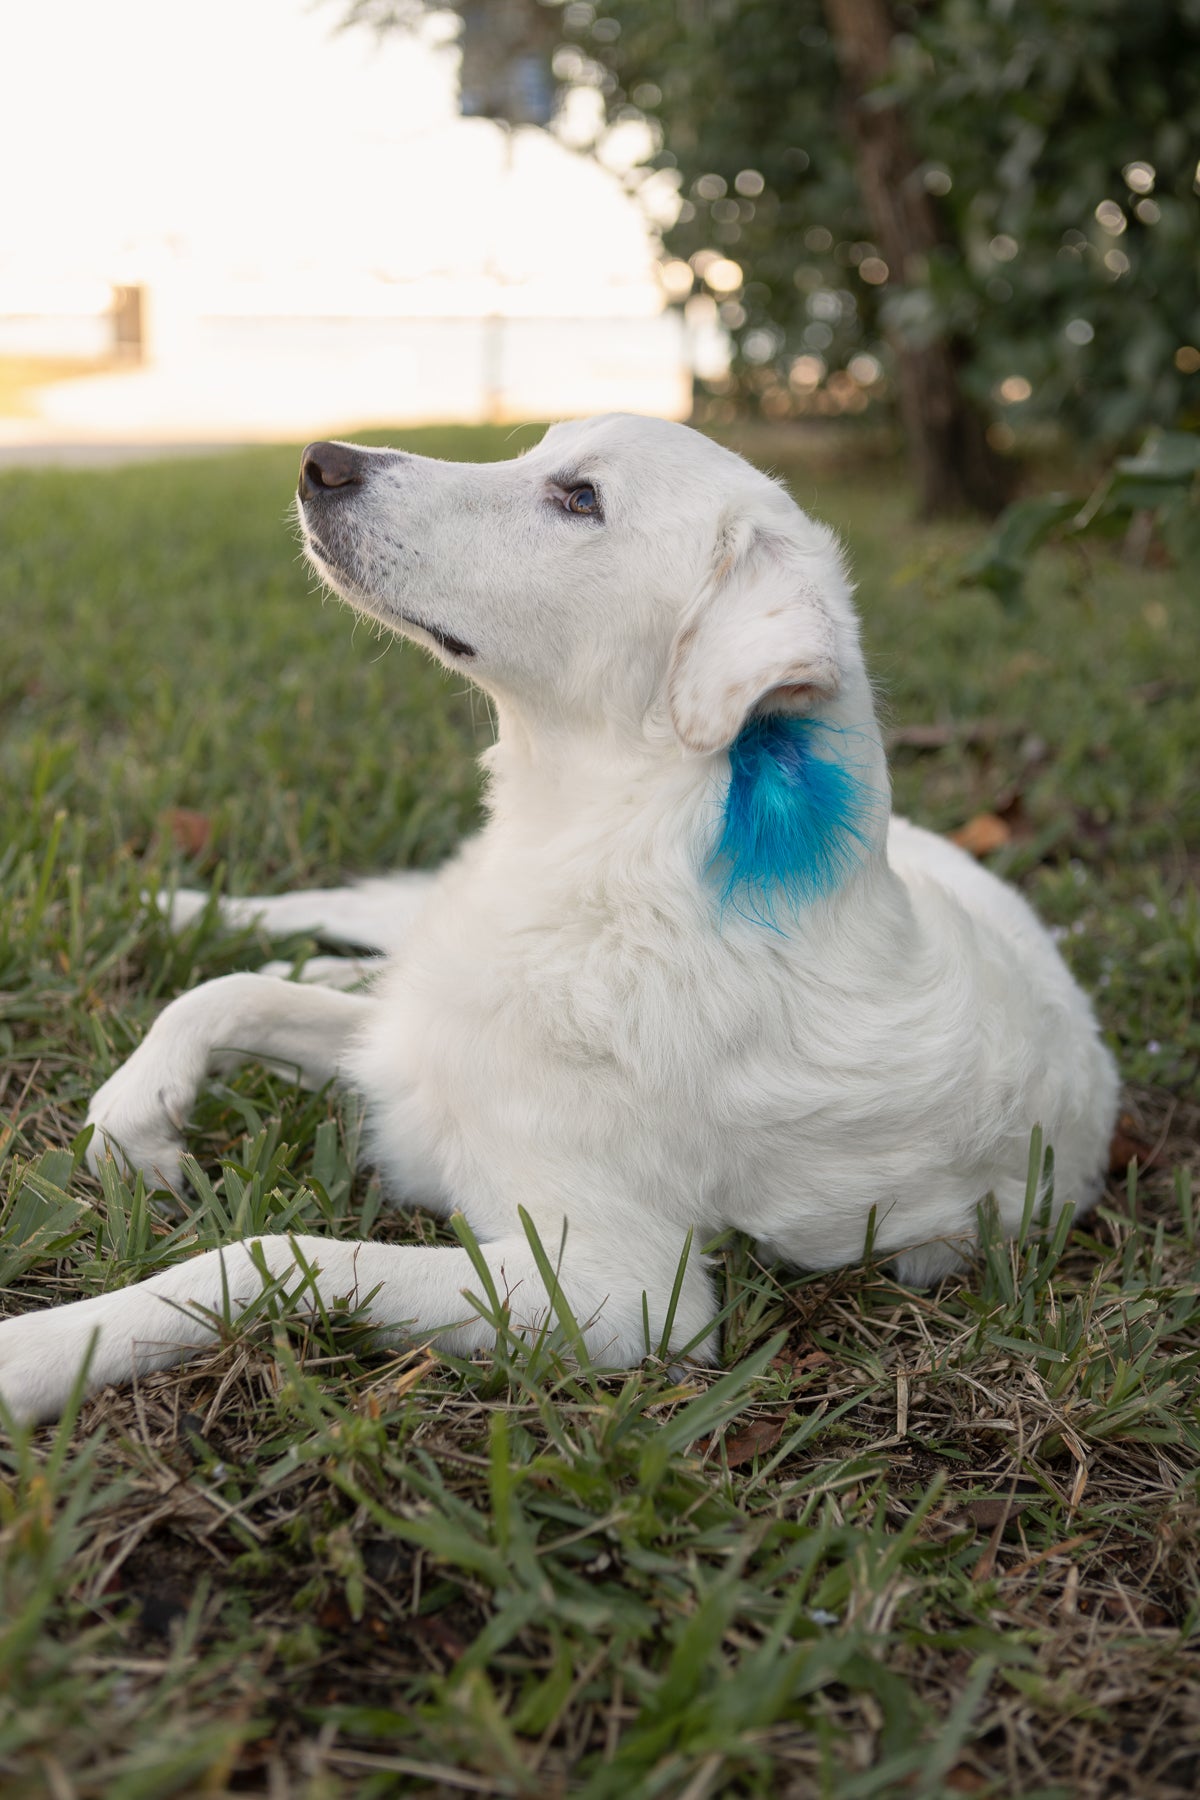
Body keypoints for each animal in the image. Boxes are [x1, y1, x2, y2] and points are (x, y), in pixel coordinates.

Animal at [0, 417, 1129, 1418]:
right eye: (537, 450)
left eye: (579, 498)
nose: (321, 460)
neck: (609, 864)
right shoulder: (421, 1051)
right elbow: (226, 995)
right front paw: (134, 1114)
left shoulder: (618, 1291)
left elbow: (267, 1253)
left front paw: (46, 1350)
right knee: (315, 927)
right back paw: (166, 905)